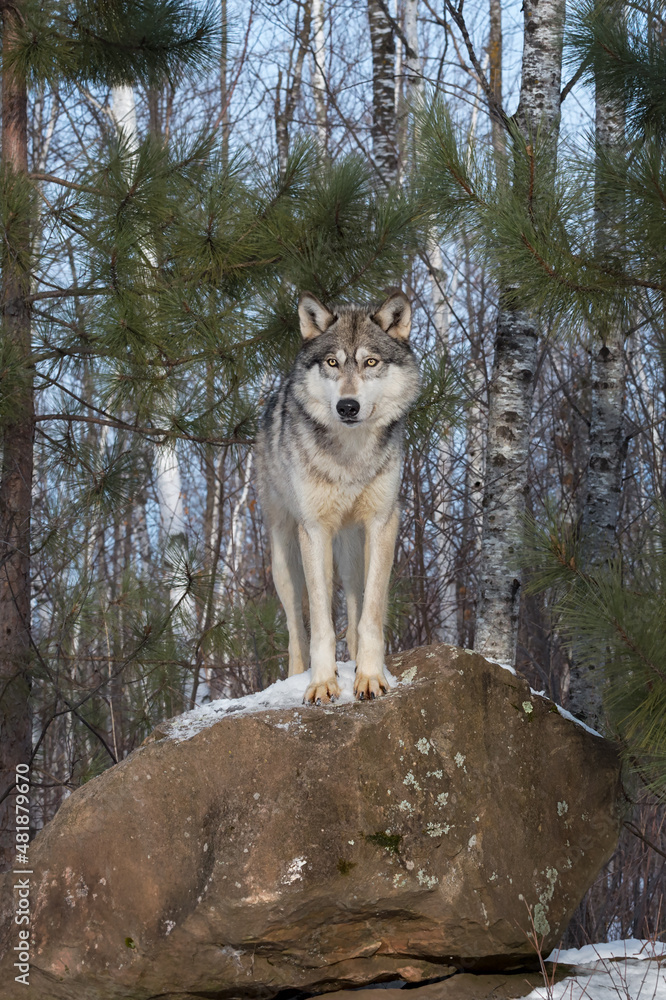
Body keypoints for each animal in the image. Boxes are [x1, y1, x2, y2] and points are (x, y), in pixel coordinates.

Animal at [255, 290, 420, 705]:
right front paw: (322, 684)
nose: (348, 406)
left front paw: (370, 677)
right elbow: (320, 624)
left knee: (355, 601)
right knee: (296, 627)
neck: (350, 457)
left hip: (351, 551)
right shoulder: (314, 531)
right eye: (332, 362)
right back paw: (296, 675)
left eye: (370, 362)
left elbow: (371, 614)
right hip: (285, 557)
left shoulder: (383, 522)